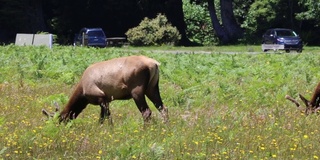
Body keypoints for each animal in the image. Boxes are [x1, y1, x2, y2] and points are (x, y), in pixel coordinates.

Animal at [42, 55, 170, 124]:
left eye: (61, 120)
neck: (83, 92)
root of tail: (154, 64)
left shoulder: (101, 97)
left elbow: (105, 117)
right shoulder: (107, 100)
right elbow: (104, 117)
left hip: (137, 90)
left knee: (146, 112)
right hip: (152, 87)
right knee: (163, 108)